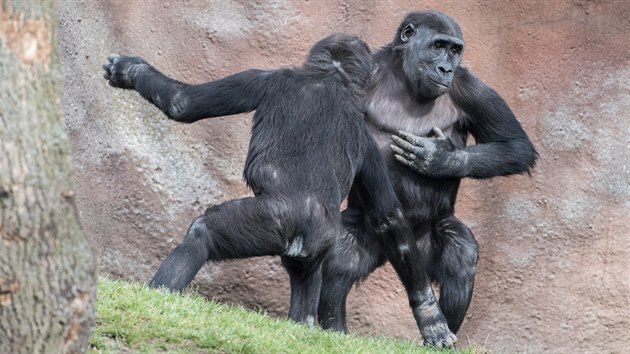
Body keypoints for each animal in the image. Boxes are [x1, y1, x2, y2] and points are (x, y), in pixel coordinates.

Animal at [105, 32, 450, 338]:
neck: (330, 79)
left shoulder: (264, 78)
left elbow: (182, 103)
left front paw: (129, 70)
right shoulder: (370, 141)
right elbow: (389, 217)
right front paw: (430, 317)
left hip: (274, 220)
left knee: (203, 233)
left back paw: (159, 294)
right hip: (316, 247)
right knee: (306, 293)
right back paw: (304, 324)